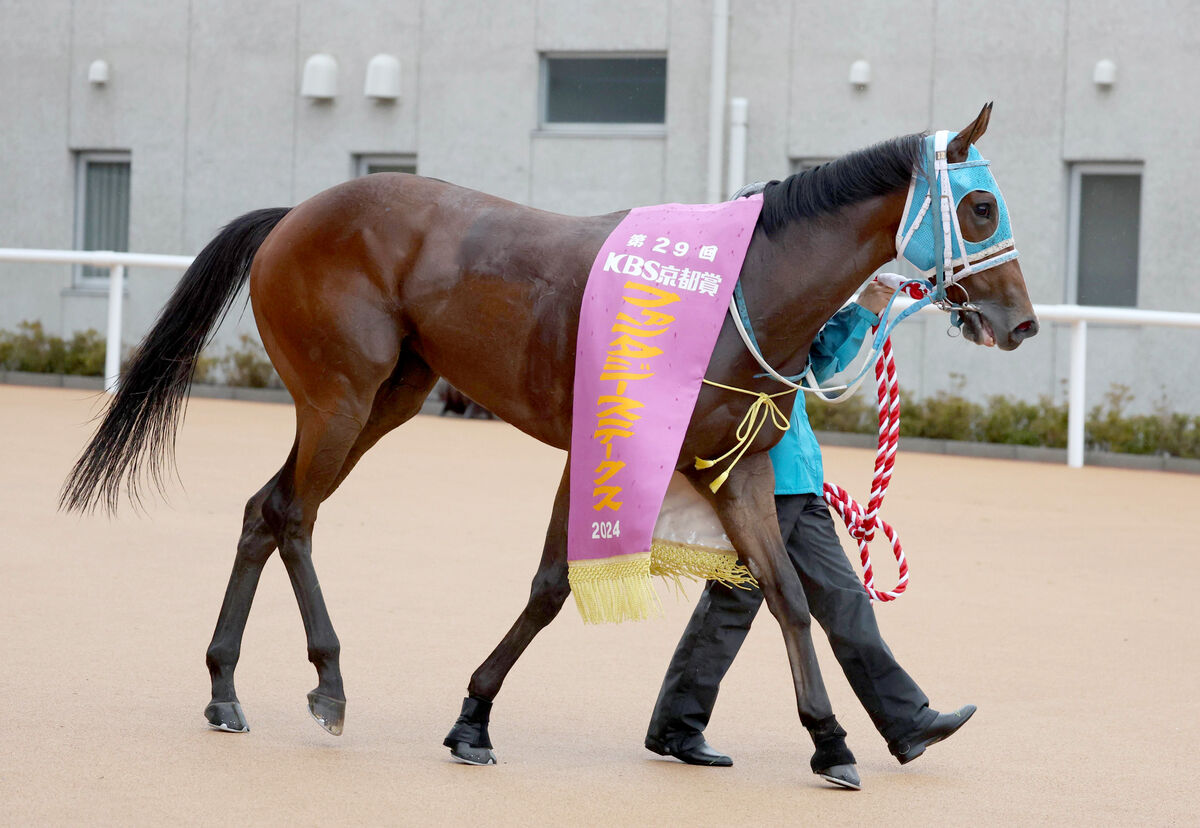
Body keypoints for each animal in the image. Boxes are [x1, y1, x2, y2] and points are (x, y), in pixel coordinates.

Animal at [63, 101, 1041, 782]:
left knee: (264, 509)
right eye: (980, 206)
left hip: (391, 397)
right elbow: (550, 587)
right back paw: (329, 684)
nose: (1021, 323)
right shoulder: (599, 447)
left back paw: (224, 688)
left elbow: (790, 593)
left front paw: (833, 741)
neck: (738, 290)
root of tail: (296, 213)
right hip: (338, 396)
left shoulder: (736, 467)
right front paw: (472, 720)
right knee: (296, 516)